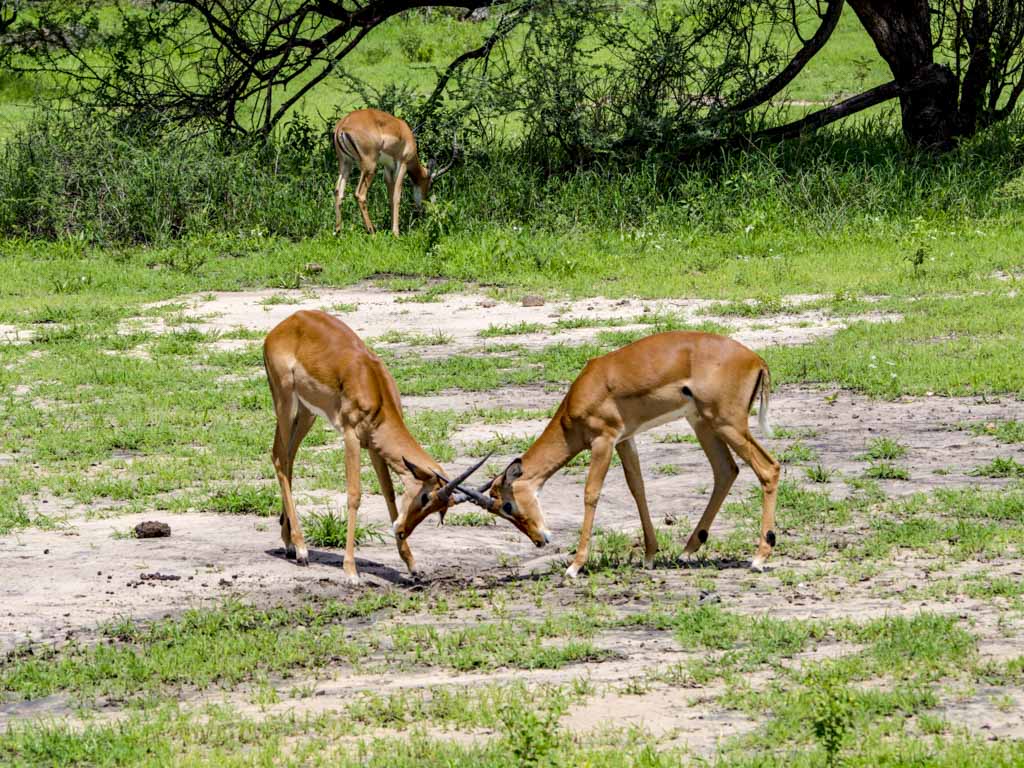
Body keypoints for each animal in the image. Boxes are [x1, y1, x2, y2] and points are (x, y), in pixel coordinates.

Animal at [263, 310, 486, 584]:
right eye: (425, 497)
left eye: (439, 509)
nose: (401, 530)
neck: (373, 384)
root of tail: (284, 325)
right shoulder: (351, 436)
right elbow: (354, 495)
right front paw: (351, 571)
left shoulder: (373, 445)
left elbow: (388, 492)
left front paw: (412, 566)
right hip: (285, 401)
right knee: (279, 458)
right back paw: (302, 549)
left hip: (307, 412)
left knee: (288, 458)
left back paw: (290, 544)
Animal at [332, 108, 458, 237]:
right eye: (430, 184)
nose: (422, 207)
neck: (405, 132)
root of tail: (342, 126)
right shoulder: (403, 164)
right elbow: (397, 197)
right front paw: (396, 233)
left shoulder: (388, 168)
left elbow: (390, 197)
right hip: (370, 166)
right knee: (360, 194)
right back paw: (372, 232)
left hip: (346, 163)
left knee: (338, 191)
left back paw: (338, 232)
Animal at [442, 331, 780, 577]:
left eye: (508, 505)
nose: (540, 540)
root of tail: (757, 360)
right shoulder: (624, 439)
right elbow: (637, 488)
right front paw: (649, 556)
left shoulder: (603, 440)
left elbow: (591, 493)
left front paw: (575, 566)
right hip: (702, 423)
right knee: (726, 470)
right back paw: (687, 551)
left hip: (726, 424)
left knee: (768, 468)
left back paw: (759, 558)